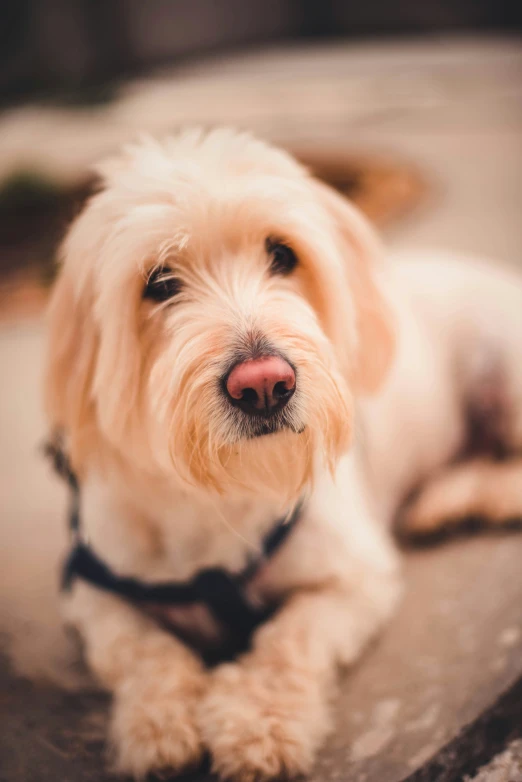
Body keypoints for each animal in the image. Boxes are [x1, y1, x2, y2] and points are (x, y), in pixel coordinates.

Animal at [43, 130, 520, 782]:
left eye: (282, 254)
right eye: (159, 283)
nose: (264, 384)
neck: (219, 498)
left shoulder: (356, 579)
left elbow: (291, 641)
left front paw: (257, 722)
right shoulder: (91, 591)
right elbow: (138, 650)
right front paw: (158, 722)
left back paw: (458, 497)